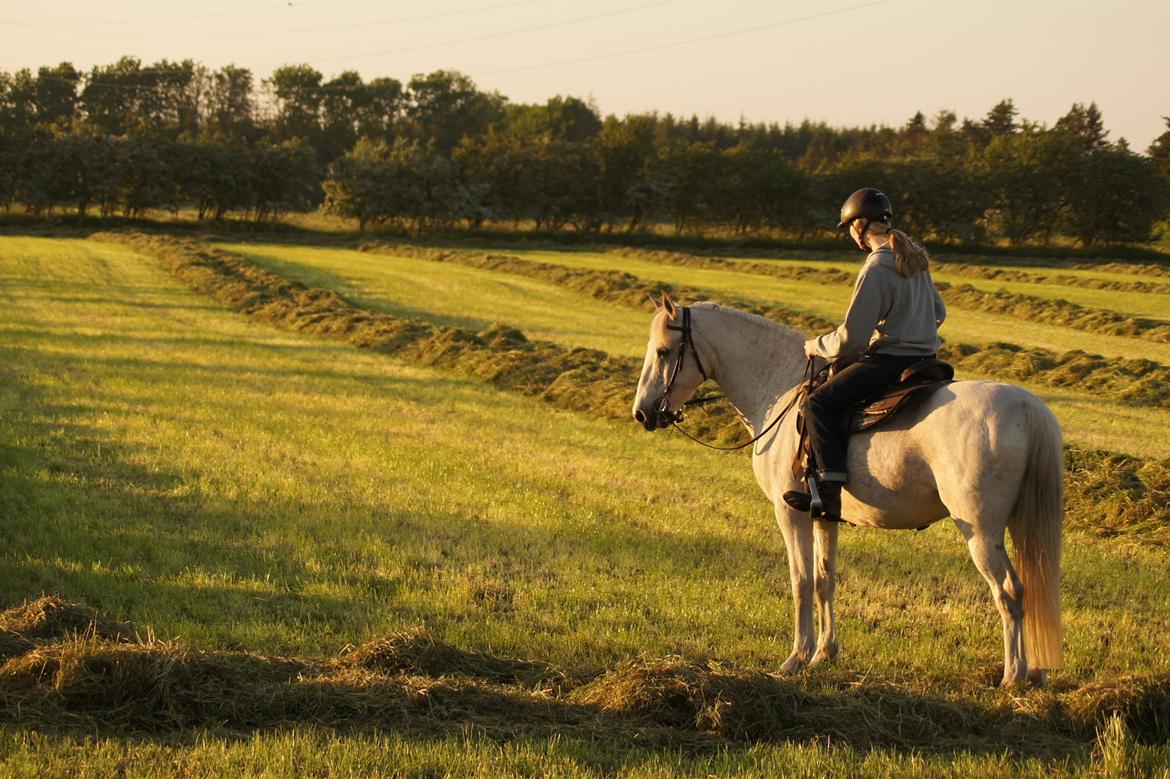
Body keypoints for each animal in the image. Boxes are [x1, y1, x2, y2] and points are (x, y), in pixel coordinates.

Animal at [636, 294, 1067, 683]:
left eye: (663, 351)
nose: (642, 413)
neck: (780, 389)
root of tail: (1026, 407)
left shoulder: (789, 513)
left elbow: (801, 582)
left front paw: (795, 658)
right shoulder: (824, 515)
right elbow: (825, 579)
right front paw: (824, 654)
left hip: (980, 530)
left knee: (1009, 591)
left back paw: (1013, 676)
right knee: (1032, 588)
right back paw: (1036, 674)